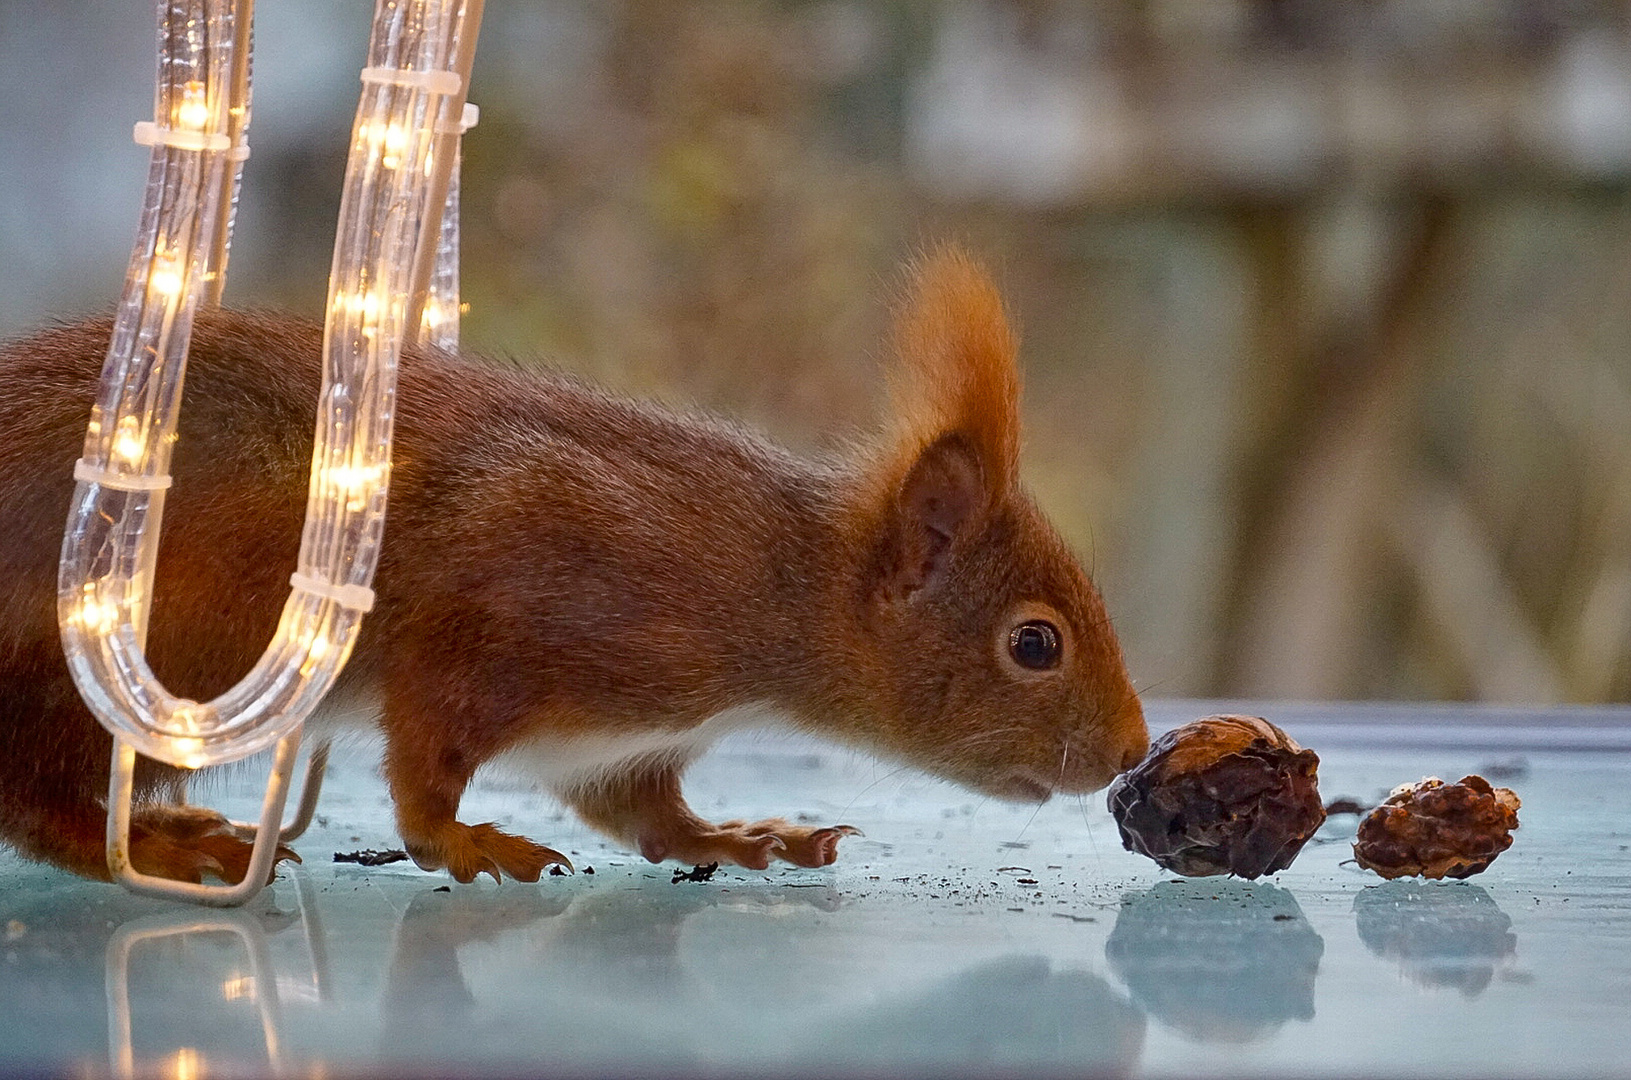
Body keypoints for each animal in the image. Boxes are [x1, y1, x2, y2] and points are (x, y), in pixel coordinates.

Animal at [0, 251, 1148, 887]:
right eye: (1032, 643)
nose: (1129, 754)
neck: (770, 583)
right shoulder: (503, 593)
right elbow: (424, 767)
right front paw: (463, 843)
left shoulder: (615, 740)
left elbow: (642, 813)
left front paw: (742, 836)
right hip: (120, 668)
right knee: (36, 801)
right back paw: (162, 848)